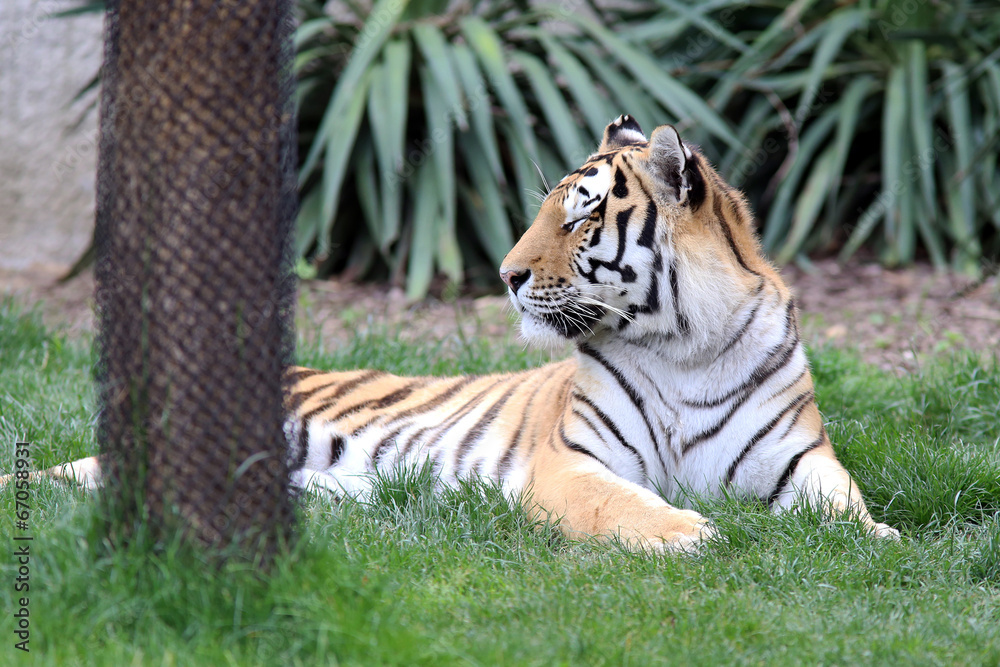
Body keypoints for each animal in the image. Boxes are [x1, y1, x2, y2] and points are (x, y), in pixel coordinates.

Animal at [5, 115, 898, 550]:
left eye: (581, 217)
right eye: (548, 208)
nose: (504, 274)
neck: (686, 345)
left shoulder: (800, 459)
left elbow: (846, 507)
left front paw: (880, 539)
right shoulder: (572, 463)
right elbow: (624, 504)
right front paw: (694, 531)